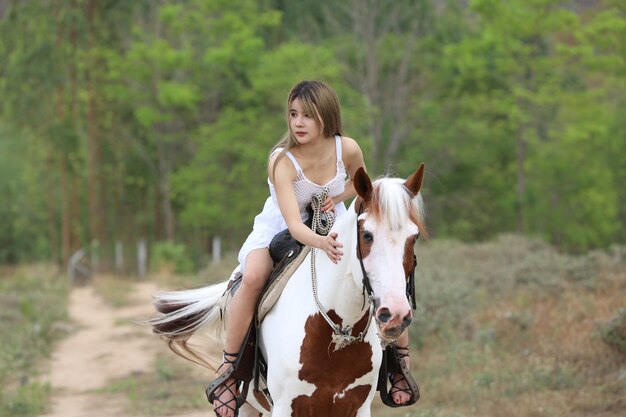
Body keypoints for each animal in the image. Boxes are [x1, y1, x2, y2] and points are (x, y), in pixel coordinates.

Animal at [149, 164, 426, 416]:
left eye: (414, 238)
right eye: (367, 235)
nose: (395, 314)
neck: (336, 333)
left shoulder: (357, 407)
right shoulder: (285, 407)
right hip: (249, 406)